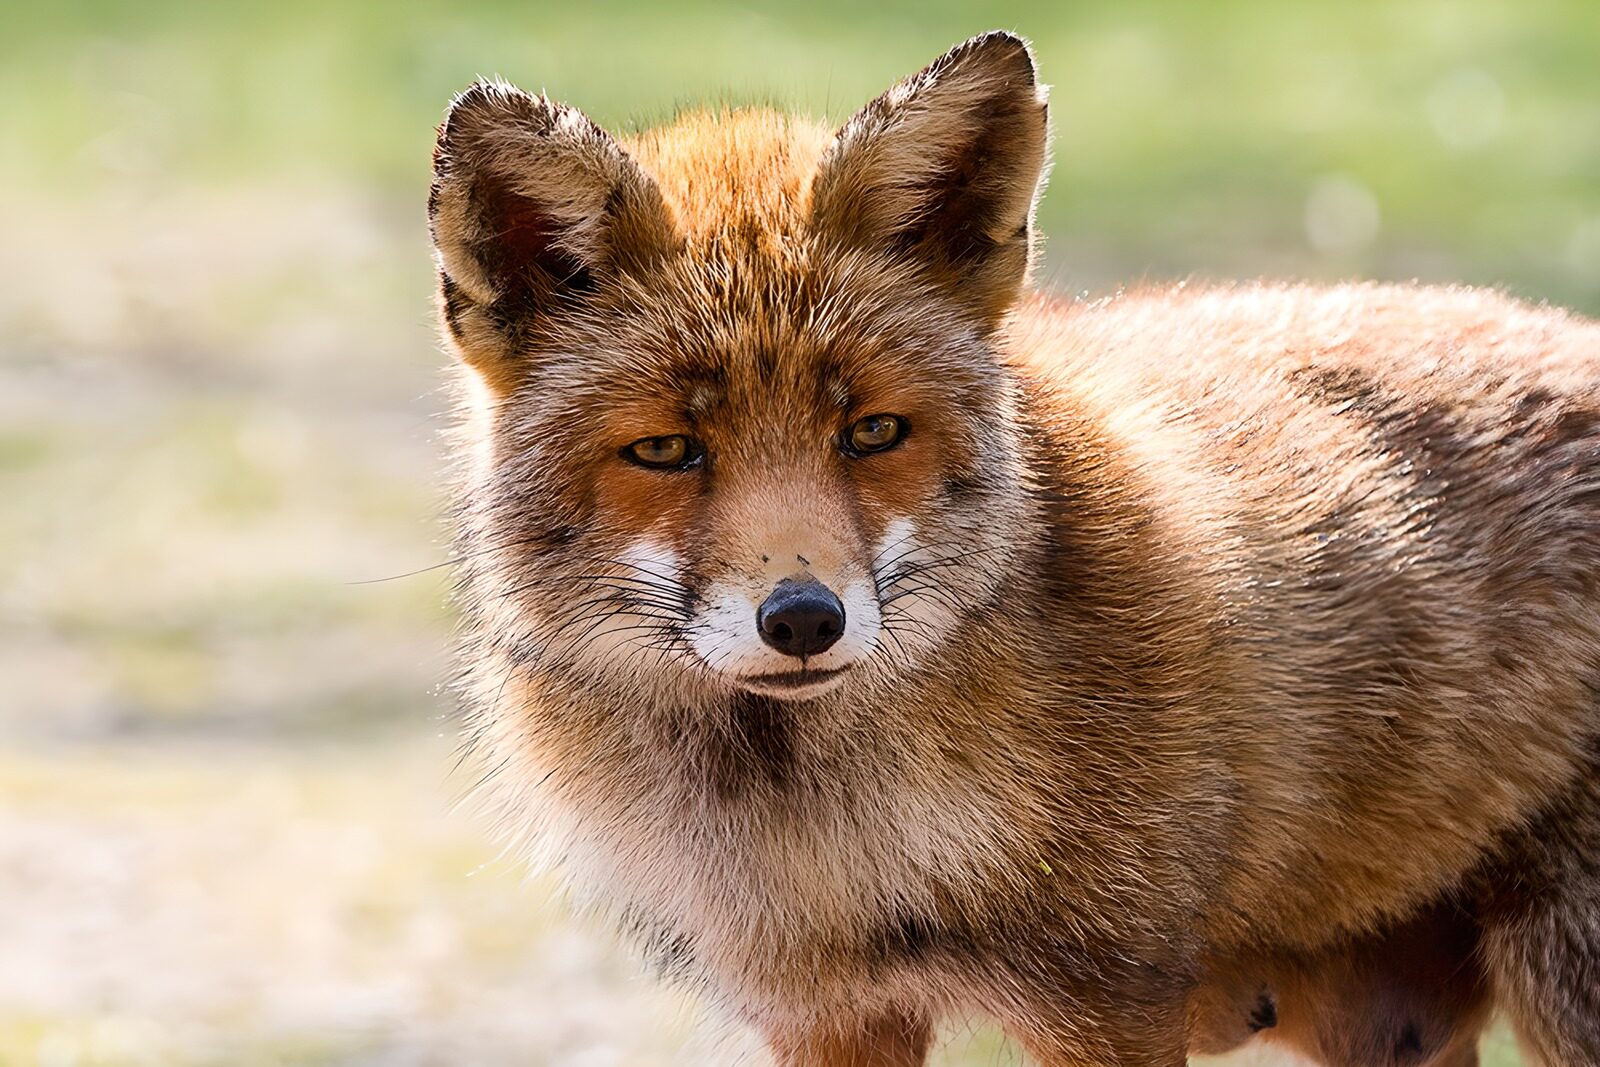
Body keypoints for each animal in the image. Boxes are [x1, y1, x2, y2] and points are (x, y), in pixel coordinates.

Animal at [428, 31, 1600, 1067]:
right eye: (668, 449)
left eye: (873, 432)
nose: (804, 619)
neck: (836, 849)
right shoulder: (825, 1012)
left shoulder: (1106, 1000)